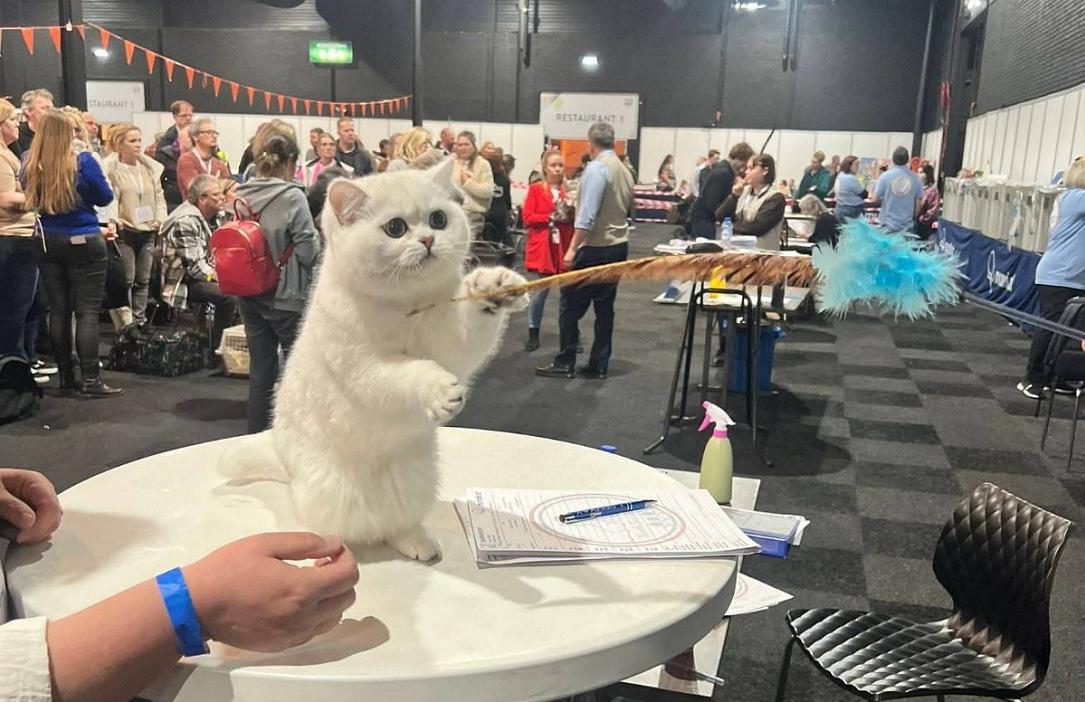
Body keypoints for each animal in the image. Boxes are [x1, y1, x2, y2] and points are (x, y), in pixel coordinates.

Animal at [225, 157, 527, 561]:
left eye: (438, 219)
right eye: (395, 228)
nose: (428, 240)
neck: (407, 306)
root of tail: (285, 464)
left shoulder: (454, 343)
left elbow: (468, 328)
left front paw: (491, 286)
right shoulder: (366, 370)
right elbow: (413, 373)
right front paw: (441, 393)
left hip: (416, 480)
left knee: (395, 525)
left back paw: (417, 543)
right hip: (327, 493)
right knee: (331, 529)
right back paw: (329, 553)